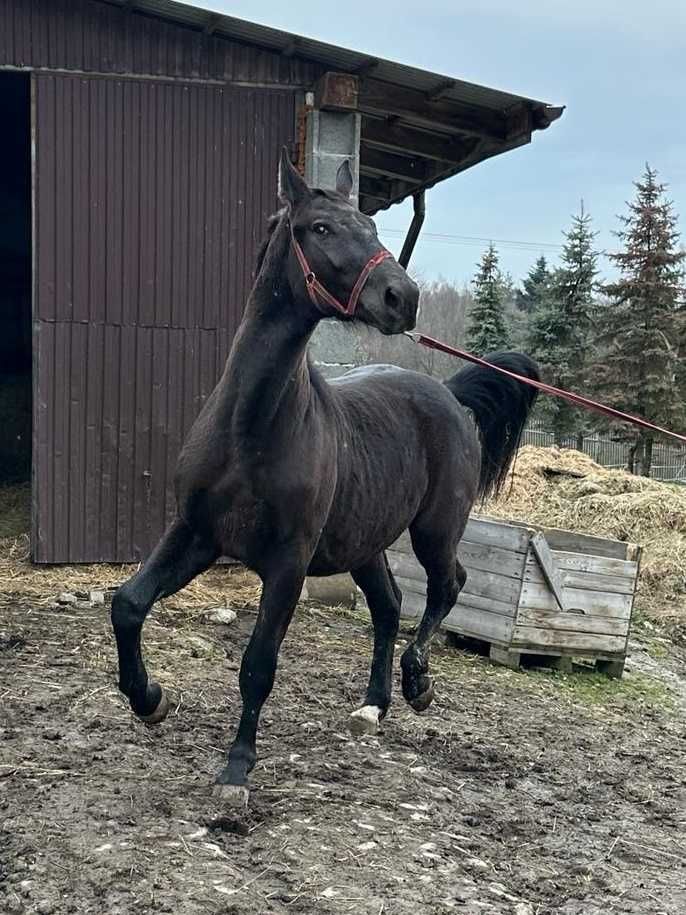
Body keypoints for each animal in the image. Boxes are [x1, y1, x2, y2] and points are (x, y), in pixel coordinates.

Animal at [111, 154, 544, 804]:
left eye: (371, 223)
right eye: (319, 227)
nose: (402, 296)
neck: (250, 429)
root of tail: (446, 393)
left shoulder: (287, 562)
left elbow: (258, 663)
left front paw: (236, 773)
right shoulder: (196, 534)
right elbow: (128, 604)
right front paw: (150, 700)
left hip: (436, 530)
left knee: (448, 586)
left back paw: (418, 683)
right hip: (364, 543)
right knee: (389, 605)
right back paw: (373, 706)